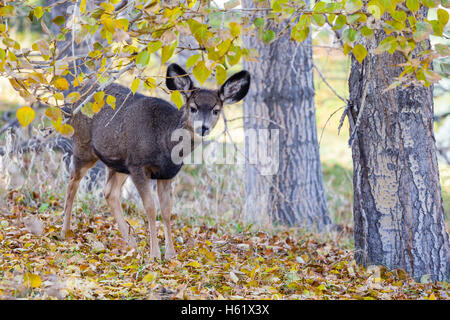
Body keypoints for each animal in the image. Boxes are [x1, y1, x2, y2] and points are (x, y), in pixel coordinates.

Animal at [60, 63, 251, 260]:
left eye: (216, 110)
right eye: (193, 108)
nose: (203, 128)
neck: (165, 141)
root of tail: (78, 96)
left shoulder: (166, 173)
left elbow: (166, 211)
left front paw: (171, 254)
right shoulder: (138, 166)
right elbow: (151, 208)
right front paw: (154, 254)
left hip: (119, 164)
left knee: (109, 192)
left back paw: (131, 243)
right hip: (84, 146)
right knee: (72, 182)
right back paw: (65, 233)